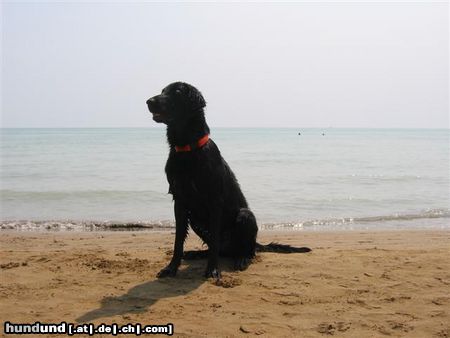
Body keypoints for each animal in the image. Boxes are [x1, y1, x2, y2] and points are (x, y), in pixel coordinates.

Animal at [147, 82, 310, 280]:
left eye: (176, 91)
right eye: (162, 91)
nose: (149, 102)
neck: (188, 149)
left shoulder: (214, 200)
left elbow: (213, 242)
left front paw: (212, 270)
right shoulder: (180, 200)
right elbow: (178, 241)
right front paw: (171, 268)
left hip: (245, 215)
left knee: (246, 251)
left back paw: (242, 259)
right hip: (195, 220)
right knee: (221, 250)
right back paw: (195, 253)